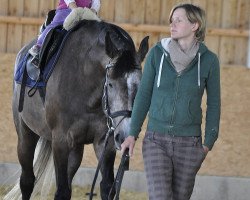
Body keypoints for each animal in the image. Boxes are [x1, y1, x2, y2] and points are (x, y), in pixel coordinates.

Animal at [6, 19, 148, 200]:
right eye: (110, 84)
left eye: (141, 86)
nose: (125, 137)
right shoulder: (60, 141)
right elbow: (61, 191)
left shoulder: (105, 141)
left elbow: (107, 187)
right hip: (26, 135)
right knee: (27, 180)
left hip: (76, 149)